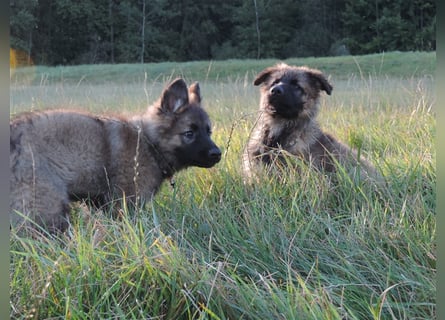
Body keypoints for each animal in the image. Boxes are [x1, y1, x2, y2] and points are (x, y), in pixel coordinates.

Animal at [11, 79, 222, 234]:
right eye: (189, 133)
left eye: (208, 131)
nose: (217, 154)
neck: (148, 143)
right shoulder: (125, 204)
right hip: (47, 206)